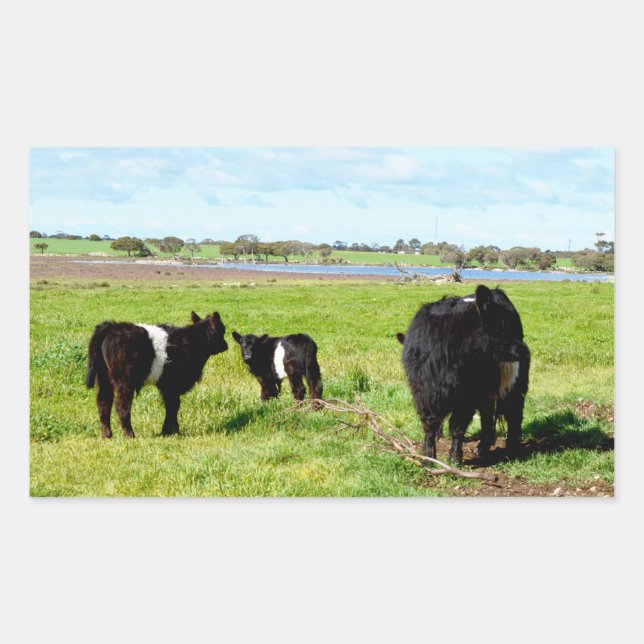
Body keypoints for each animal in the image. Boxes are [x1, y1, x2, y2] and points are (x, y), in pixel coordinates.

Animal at [86, 311, 228, 438]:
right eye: (222, 331)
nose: (226, 345)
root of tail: (111, 327)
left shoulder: (167, 386)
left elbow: (171, 406)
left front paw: (169, 430)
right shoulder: (172, 384)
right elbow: (173, 406)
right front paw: (170, 431)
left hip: (103, 378)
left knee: (103, 402)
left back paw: (107, 435)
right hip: (124, 381)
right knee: (122, 405)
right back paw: (129, 434)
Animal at [399, 285, 530, 464]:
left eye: (512, 323)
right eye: (502, 324)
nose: (524, 350)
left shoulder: (467, 396)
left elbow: (457, 426)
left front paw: (455, 457)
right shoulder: (422, 393)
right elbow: (429, 425)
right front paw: (428, 457)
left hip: (515, 385)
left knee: (514, 414)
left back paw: (511, 449)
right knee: (487, 416)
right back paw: (482, 447)